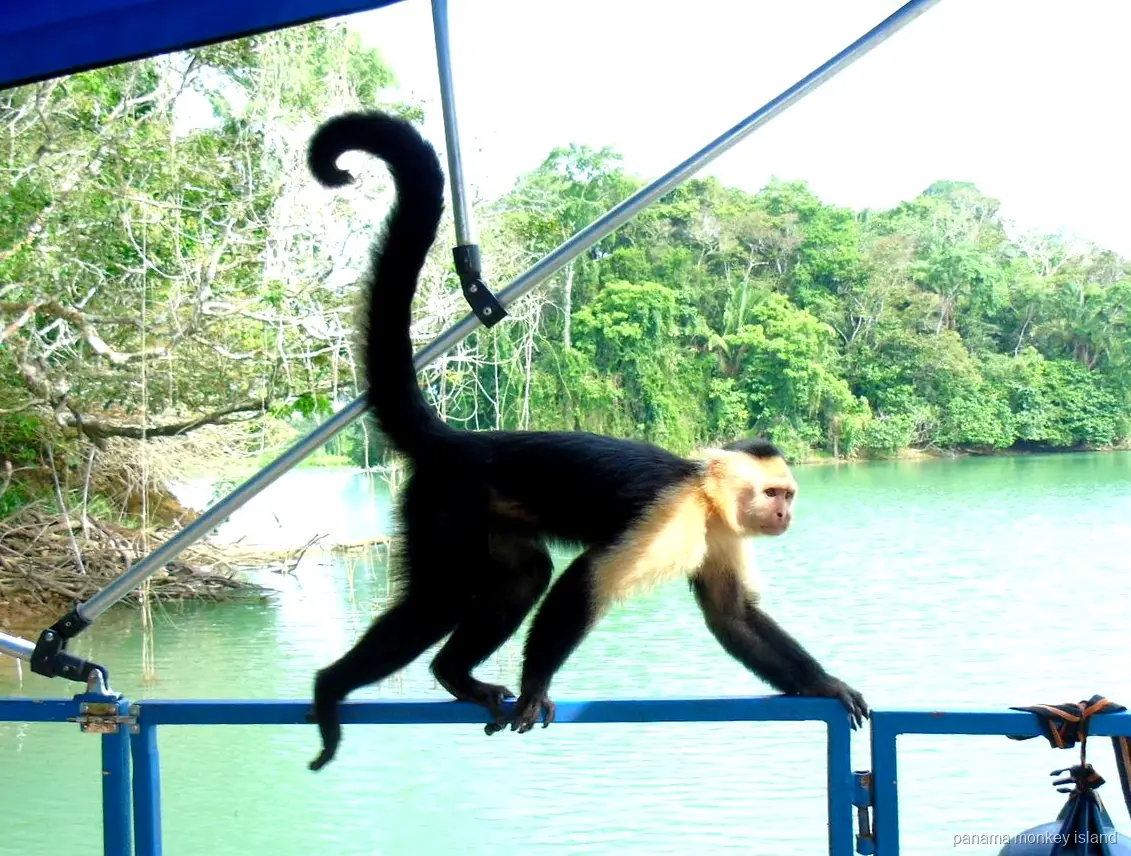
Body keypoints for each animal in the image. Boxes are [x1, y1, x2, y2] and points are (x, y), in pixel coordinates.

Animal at [303, 110, 869, 772]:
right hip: (446, 502)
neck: (705, 499)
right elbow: (585, 582)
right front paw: (536, 686)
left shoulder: (722, 532)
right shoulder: (672, 514)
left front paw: (824, 683)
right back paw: (332, 686)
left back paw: (453, 675)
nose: (785, 514)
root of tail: (461, 442)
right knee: (440, 598)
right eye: (776, 493)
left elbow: (733, 618)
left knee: (523, 576)